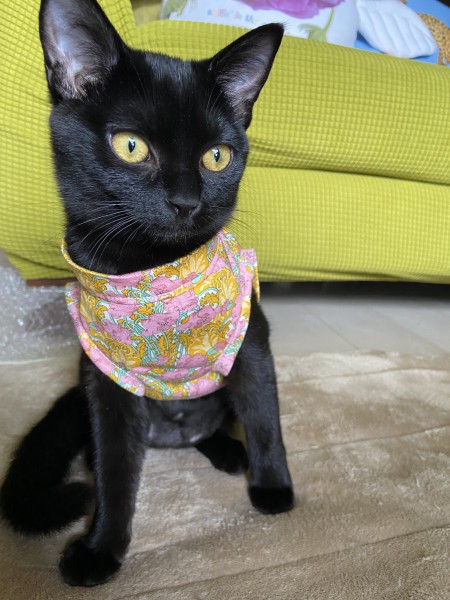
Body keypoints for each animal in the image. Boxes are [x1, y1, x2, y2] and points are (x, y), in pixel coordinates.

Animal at [0, 0, 294, 587]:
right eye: (131, 146)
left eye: (217, 157)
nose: (185, 201)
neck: (152, 276)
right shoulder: (105, 381)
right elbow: (114, 471)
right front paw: (101, 549)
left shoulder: (251, 341)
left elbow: (264, 415)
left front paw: (273, 488)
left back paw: (232, 454)